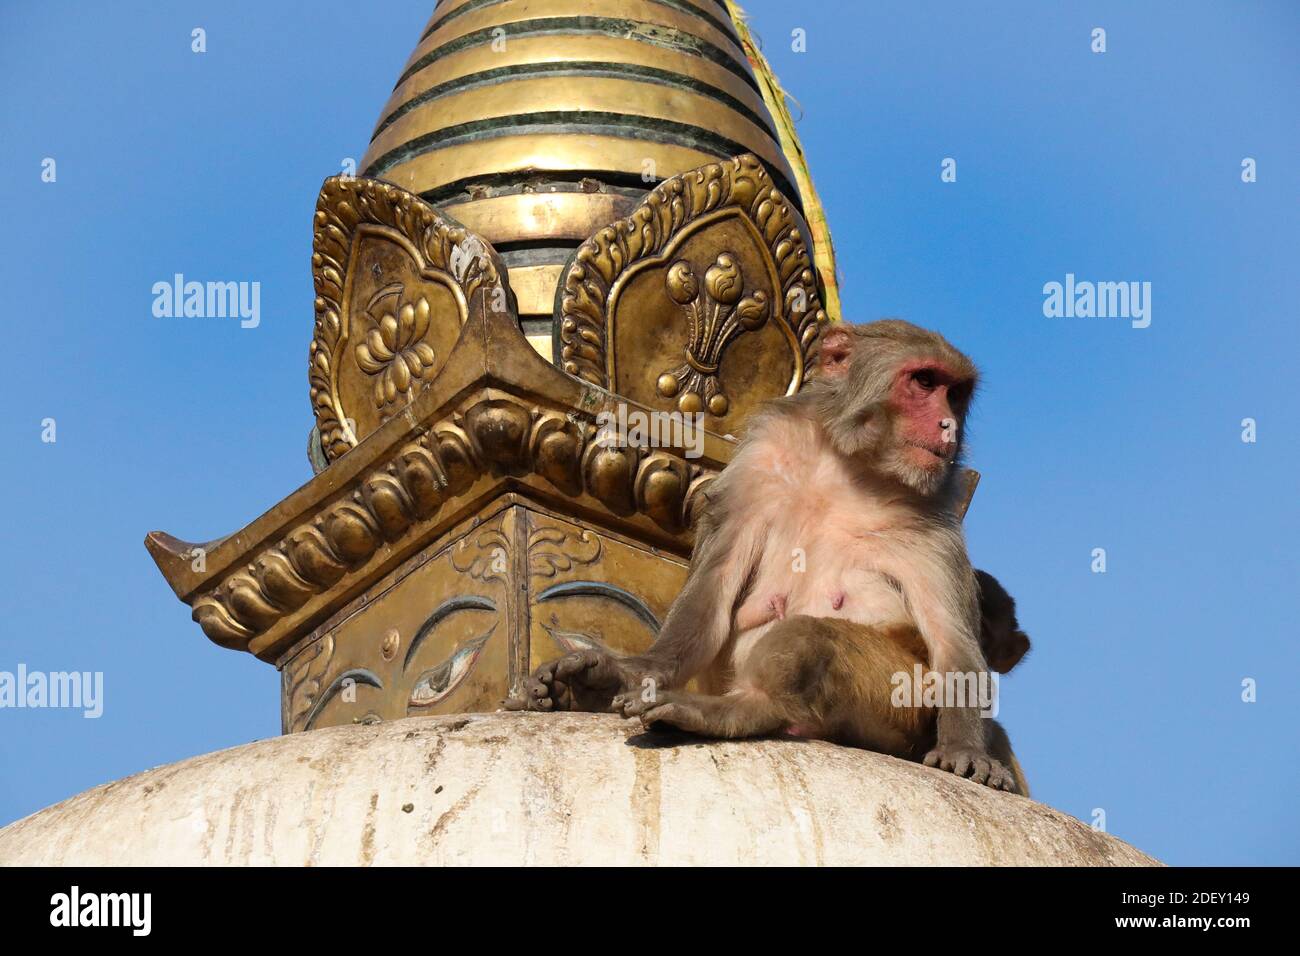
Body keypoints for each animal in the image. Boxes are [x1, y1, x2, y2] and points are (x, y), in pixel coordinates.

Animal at [511, 320, 1026, 793]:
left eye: (955, 394)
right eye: (924, 382)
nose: (948, 424)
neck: (847, 467)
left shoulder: (934, 521)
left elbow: (953, 646)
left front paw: (964, 749)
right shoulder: (759, 459)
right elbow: (713, 590)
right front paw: (624, 674)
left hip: (903, 706)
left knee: (812, 639)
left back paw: (740, 709)